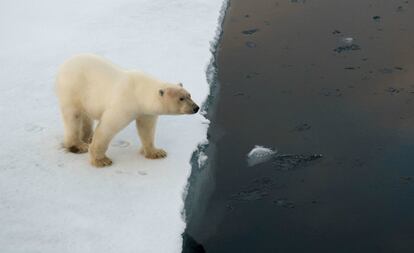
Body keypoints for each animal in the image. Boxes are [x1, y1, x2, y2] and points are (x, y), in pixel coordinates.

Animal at [56, 53, 199, 166]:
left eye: (189, 95)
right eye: (181, 98)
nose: (196, 108)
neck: (139, 91)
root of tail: (64, 64)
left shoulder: (145, 111)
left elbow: (146, 128)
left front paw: (156, 152)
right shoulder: (124, 104)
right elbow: (108, 127)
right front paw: (101, 160)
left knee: (86, 116)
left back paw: (88, 137)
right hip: (72, 89)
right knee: (73, 116)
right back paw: (78, 145)